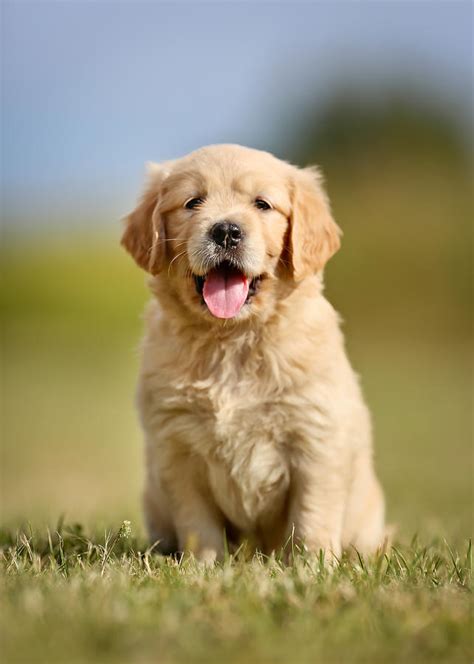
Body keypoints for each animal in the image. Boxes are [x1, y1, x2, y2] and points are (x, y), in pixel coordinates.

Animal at [122, 144, 386, 560]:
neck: (234, 339)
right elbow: (198, 523)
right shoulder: (176, 445)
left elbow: (312, 517)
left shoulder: (317, 439)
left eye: (262, 204)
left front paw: (312, 567)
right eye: (193, 202)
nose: (226, 231)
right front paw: (203, 567)